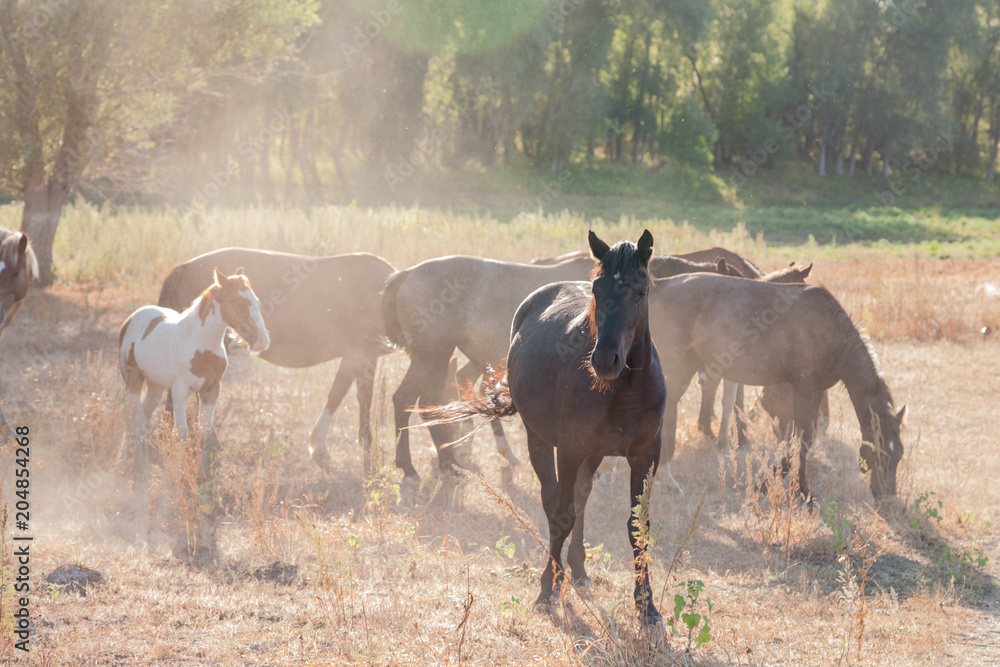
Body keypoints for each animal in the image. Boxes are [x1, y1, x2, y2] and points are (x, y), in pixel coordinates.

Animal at [118, 268, 270, 478]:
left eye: (256, 301)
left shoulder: (211, 390)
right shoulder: (180, 390)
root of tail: (132, 317)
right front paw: (179, 477)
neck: (201, 345)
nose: (262, 341)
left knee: (145, 417)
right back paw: (137, 469)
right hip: (133, 380)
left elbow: (204, 433)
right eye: (239, 303)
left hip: (156, 387)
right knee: (137, 420)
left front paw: (202, 477)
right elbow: (181, 434)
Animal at [157, 248, 394, 472]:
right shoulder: (360, 354)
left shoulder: (362, 357)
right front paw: (326, 447)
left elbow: (351, 396)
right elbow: (342, 396)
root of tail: (183, 268)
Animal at [430, 230, 672, 628]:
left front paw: (647, 607)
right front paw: (547, 590)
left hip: (594, 454)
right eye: (597, 289)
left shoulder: (645, 455)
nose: (605, 359)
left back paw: (578, 570)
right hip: (540, 441)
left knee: (581, 498)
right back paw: (560, 574)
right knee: (554, 501)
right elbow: (562, 516)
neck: (623, 391)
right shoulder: (570, 449)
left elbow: (638, 526)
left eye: (640, 292)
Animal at [648, 272, 908, 500]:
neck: (828, 329)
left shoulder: (815, 391)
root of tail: (660, 284)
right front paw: (795, 489)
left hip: (687, 364)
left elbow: (806, 438)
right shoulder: (802, 386)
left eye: (899, 454)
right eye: (879, 453)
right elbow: (802, 437)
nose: (887, 496)